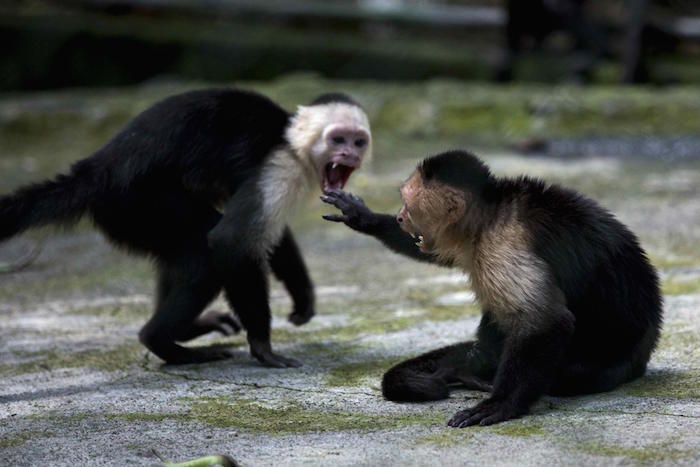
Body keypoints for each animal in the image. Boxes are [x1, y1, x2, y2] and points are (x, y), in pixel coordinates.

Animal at [0, 89, 372, 367]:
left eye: (359, 142)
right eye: (338, 139)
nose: (350, 155)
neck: (292, 143)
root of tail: (97, 168)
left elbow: (269, 235)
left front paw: (302, 296)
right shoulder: (279, 166)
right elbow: (232, 239)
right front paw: (262, 347)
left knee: (183, 253)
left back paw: (185, 332)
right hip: (135, 200)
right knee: (203, 250)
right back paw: (162, 343)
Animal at [321, 149, 662, 426]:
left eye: (408, 204)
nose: (400, 217)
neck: (487, 217)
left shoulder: (502, 245)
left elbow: (546, 321)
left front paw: (501, 405)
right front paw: (364, 217)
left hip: (610, 365)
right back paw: (472, 364)